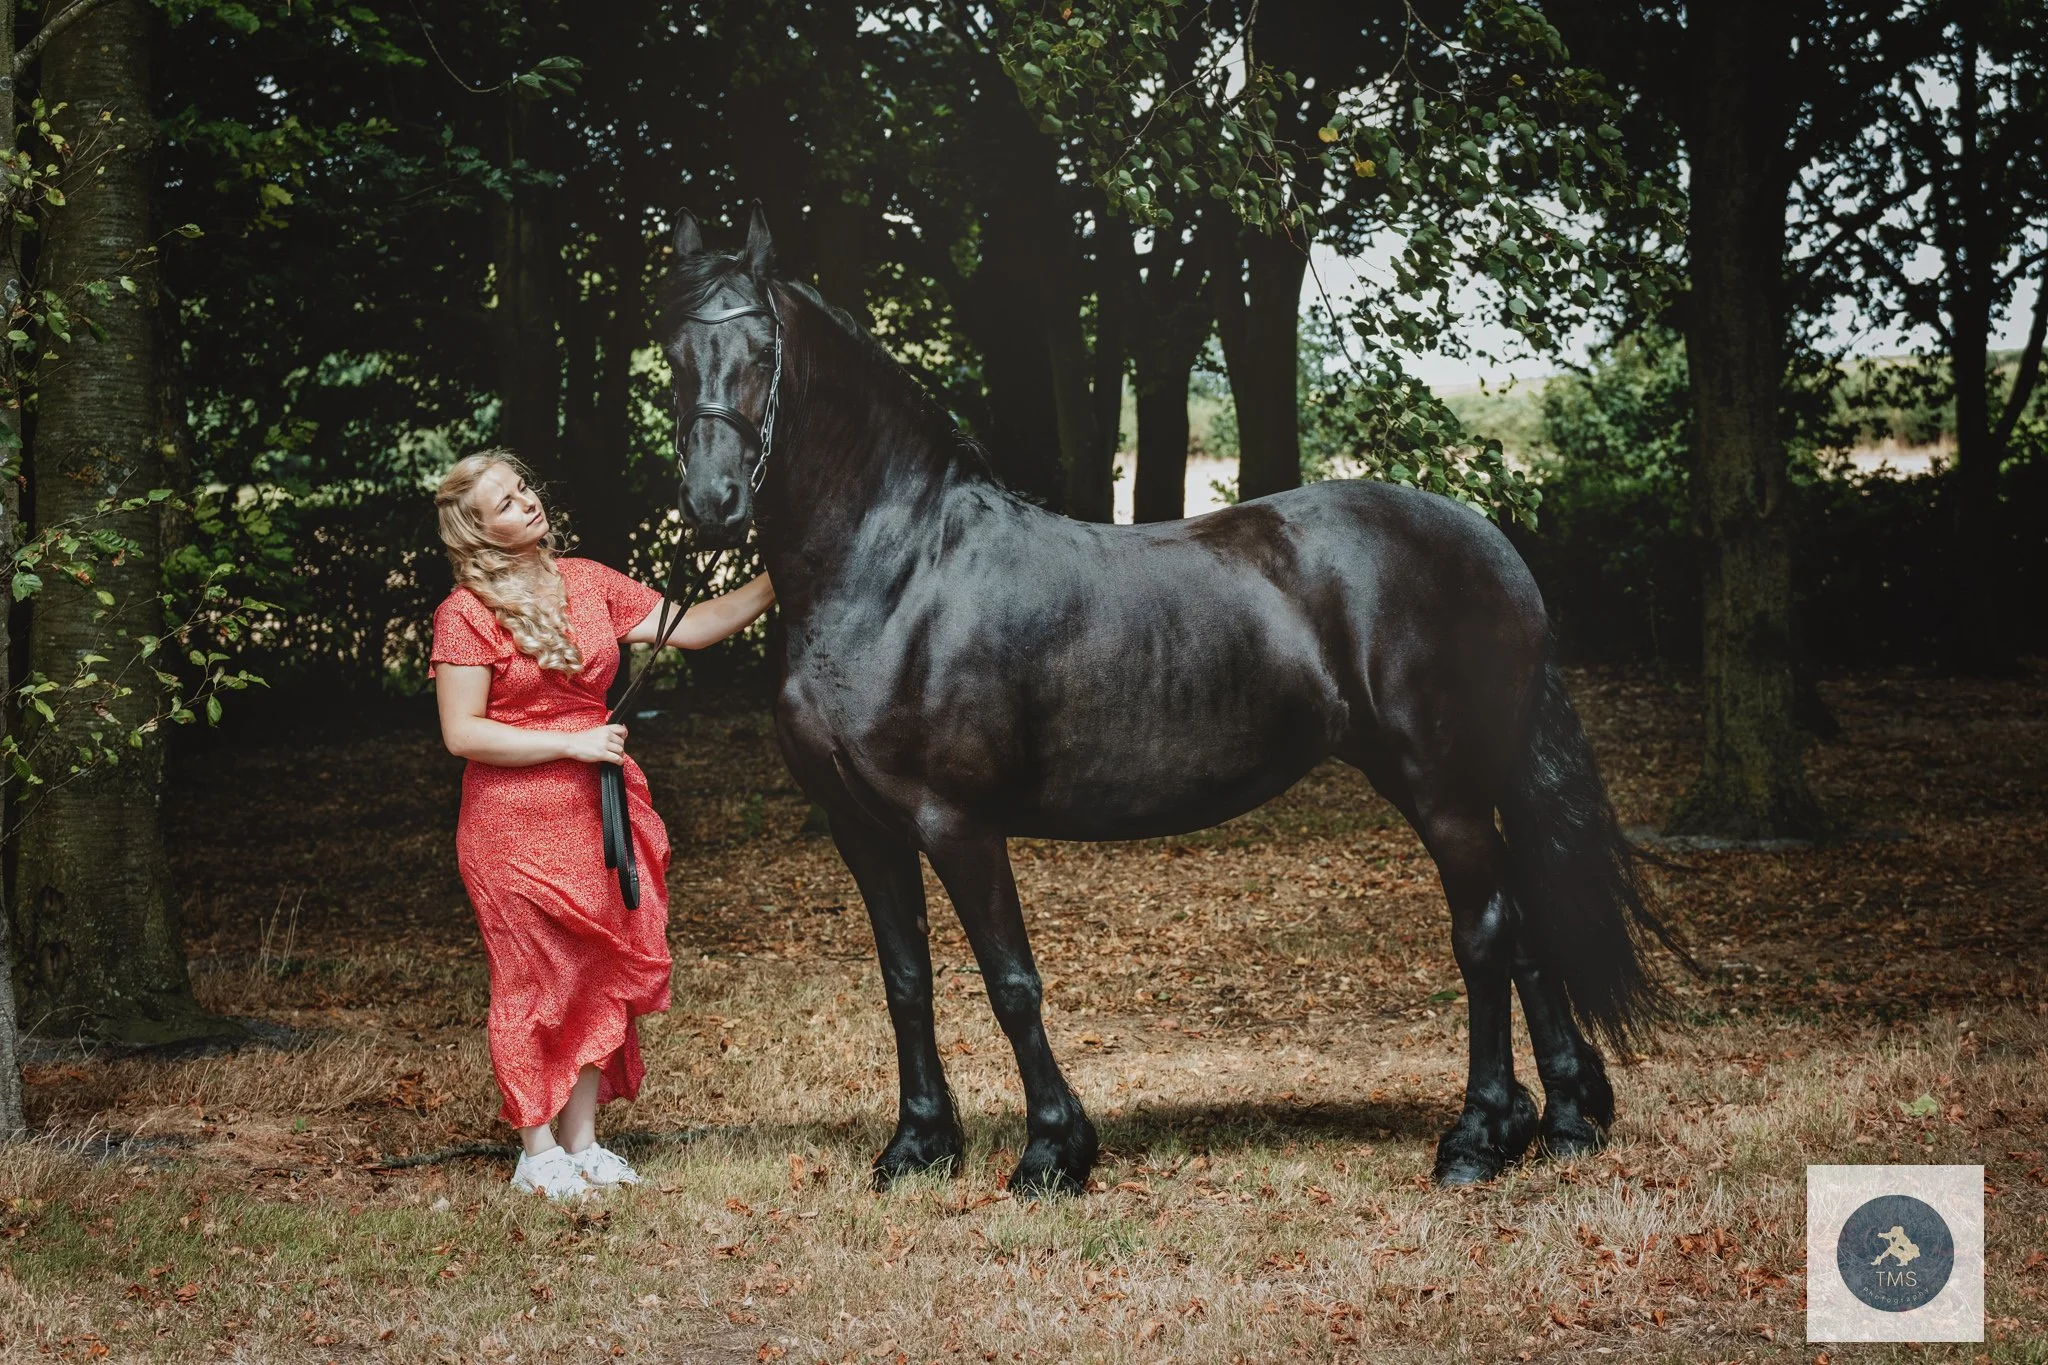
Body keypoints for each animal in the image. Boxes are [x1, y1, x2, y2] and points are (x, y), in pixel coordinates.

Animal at [656, 207, 1690, 1195]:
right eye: (673, 355)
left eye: (760, 353)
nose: (711, 504)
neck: (896, 571)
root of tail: (1489, 541)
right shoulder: (861, 825)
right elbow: (906, 980)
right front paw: (917, 1146)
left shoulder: (957, 820)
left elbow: (1010, 980)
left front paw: (1053, 1152)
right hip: (1465, 784)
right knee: (1525, 929)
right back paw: (1562, 1120)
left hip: (1441, 789)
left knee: (1485, 935)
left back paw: (1478, 1137)